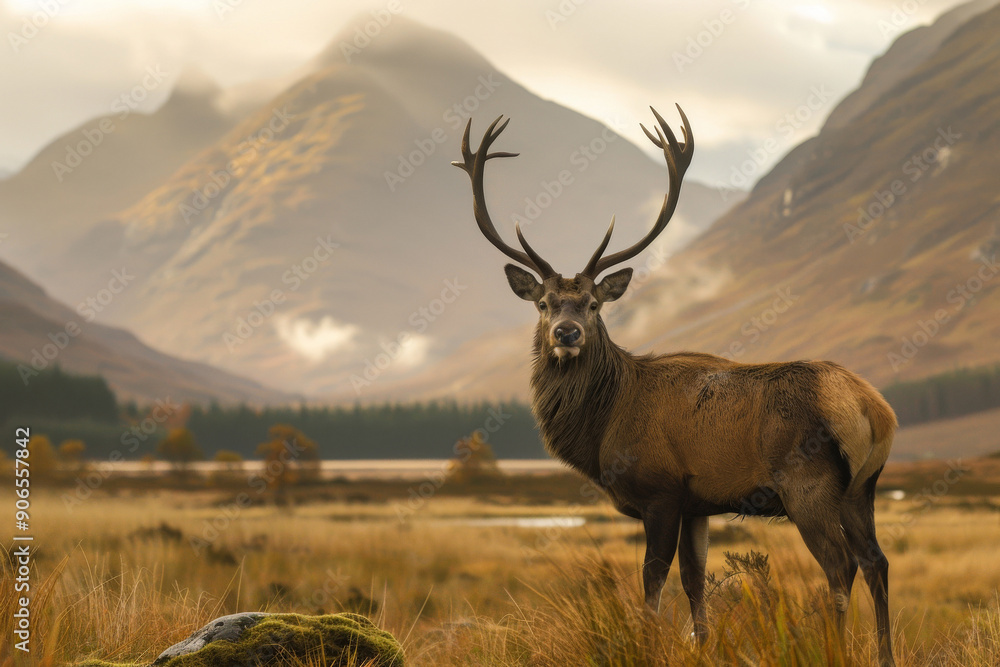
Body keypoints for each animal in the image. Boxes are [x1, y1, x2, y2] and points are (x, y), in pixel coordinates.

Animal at [453, 106, 897, 666]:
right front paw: (701, 644)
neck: (604, 426)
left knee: (842, 566)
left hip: (808, 482)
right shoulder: (697, 502)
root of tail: (873, 409)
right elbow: (694, 579)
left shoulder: (660, 490)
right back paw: (885, 654)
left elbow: (652, 582)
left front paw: (646, 644)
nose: (566, 333)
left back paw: (835, 647)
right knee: (878, 560)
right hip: (864, 485)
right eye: (544, 303)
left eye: (593, 304)